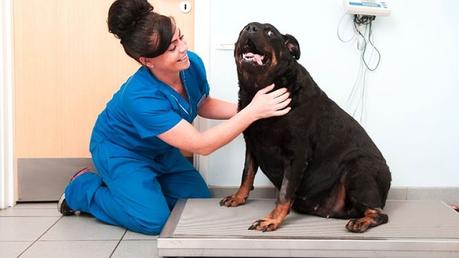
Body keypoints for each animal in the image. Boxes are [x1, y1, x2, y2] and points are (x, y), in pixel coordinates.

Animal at [219, 21, 392, 232]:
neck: (260, 90)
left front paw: (272, 219)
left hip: (360, 168)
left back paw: (362, 221)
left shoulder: (297, 155)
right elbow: (247, 173)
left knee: (379, 213)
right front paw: (238, 197)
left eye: (270, 32)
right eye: (243, 29)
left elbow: (285, 192)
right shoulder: (252, 145)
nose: (250, 29)